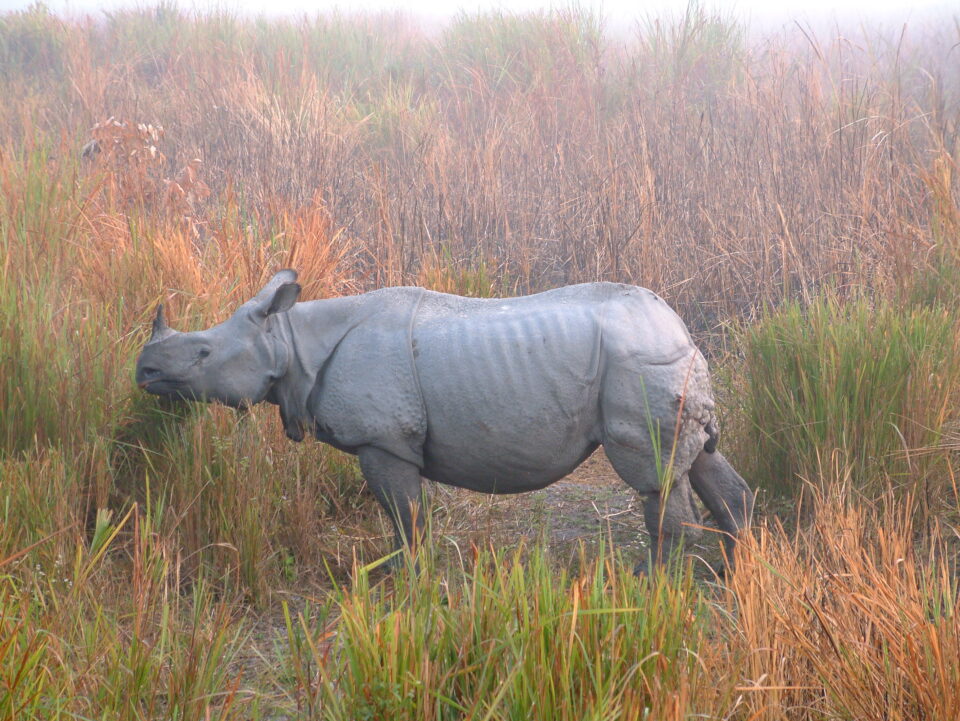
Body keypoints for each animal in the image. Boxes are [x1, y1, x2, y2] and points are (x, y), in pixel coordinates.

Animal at [135, 270, 753, 572]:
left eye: (203, 355)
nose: (143, 372)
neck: (289, 339)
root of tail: (679, 327)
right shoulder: (388, 438)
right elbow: (408, 514)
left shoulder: (383, 439)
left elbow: (404, 514)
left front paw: (400, 578)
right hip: (668, 362)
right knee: (698, 461)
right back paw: (733, 571)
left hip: (637, 362)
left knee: (656, 476)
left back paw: (653, 584)